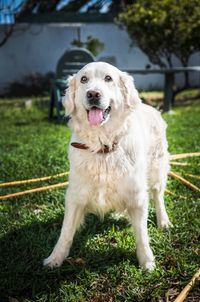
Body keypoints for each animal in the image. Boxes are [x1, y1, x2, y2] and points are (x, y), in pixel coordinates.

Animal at [43, 61, 170, 268]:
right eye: (83, 79)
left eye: (108, 78)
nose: (93, 94)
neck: (102, 146)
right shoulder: (75, 196)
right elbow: (66, 232)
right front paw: (55, 259)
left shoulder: (138, 196)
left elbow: (142, 235)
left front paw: (147, 261)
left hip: (156, 170)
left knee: (158, 197)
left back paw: (164, 221)